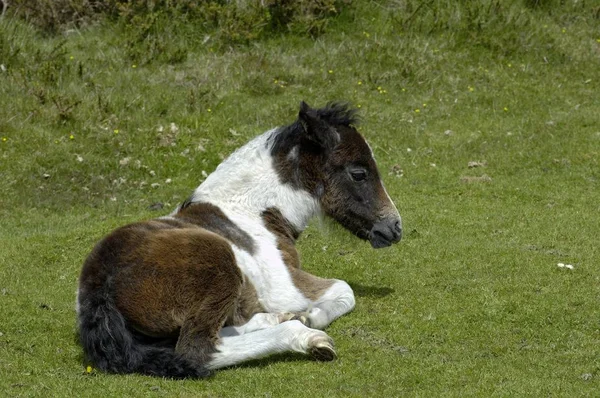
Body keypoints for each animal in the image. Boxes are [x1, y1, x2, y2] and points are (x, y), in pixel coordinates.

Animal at [76, 101, 404, 378]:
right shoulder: (283, 286)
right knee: (197, 350)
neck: (252, 212)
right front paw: (312, 317)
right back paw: (305, 336)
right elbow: (345, 290)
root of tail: (98, 287)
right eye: (359, 173)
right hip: (218, 262)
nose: (395, 227)